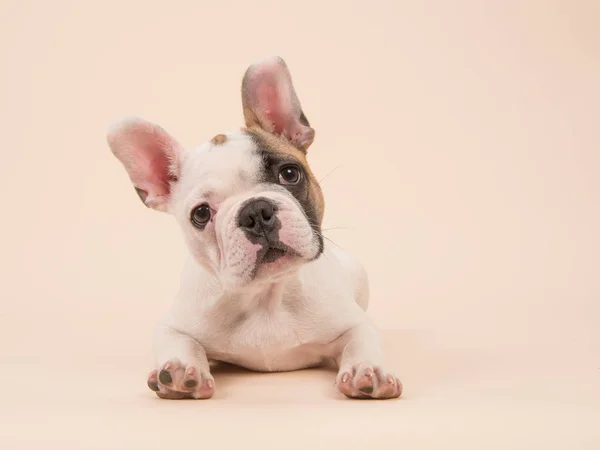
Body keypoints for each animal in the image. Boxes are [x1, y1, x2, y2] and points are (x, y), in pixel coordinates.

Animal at [107, 57, 400, 400]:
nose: (256, 212)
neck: (266, 297)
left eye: (290, 173)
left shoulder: (354, 322)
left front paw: (367, 371)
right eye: (201, 214)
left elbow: (362, 340)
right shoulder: (172, 325)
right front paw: (180, 370)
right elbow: (181, 342)